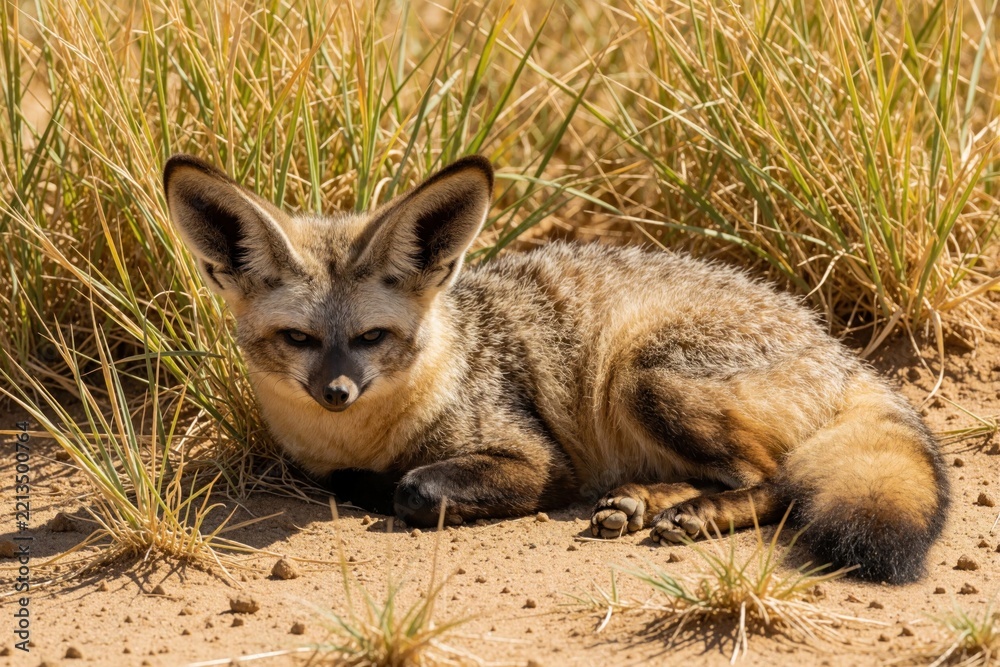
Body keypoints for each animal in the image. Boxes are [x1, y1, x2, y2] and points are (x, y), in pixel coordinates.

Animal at [163, 153, 949, 583]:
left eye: (372, 336)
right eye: (297, 338)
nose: (336, 391)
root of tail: (838, 351)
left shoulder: (539, 460)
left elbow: (415, 486)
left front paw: (388, 488)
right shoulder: (314, 456)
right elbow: (343, 476)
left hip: (640, 373)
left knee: (774, 478)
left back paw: (691, 512)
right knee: (739, 474)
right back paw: (644, 502)